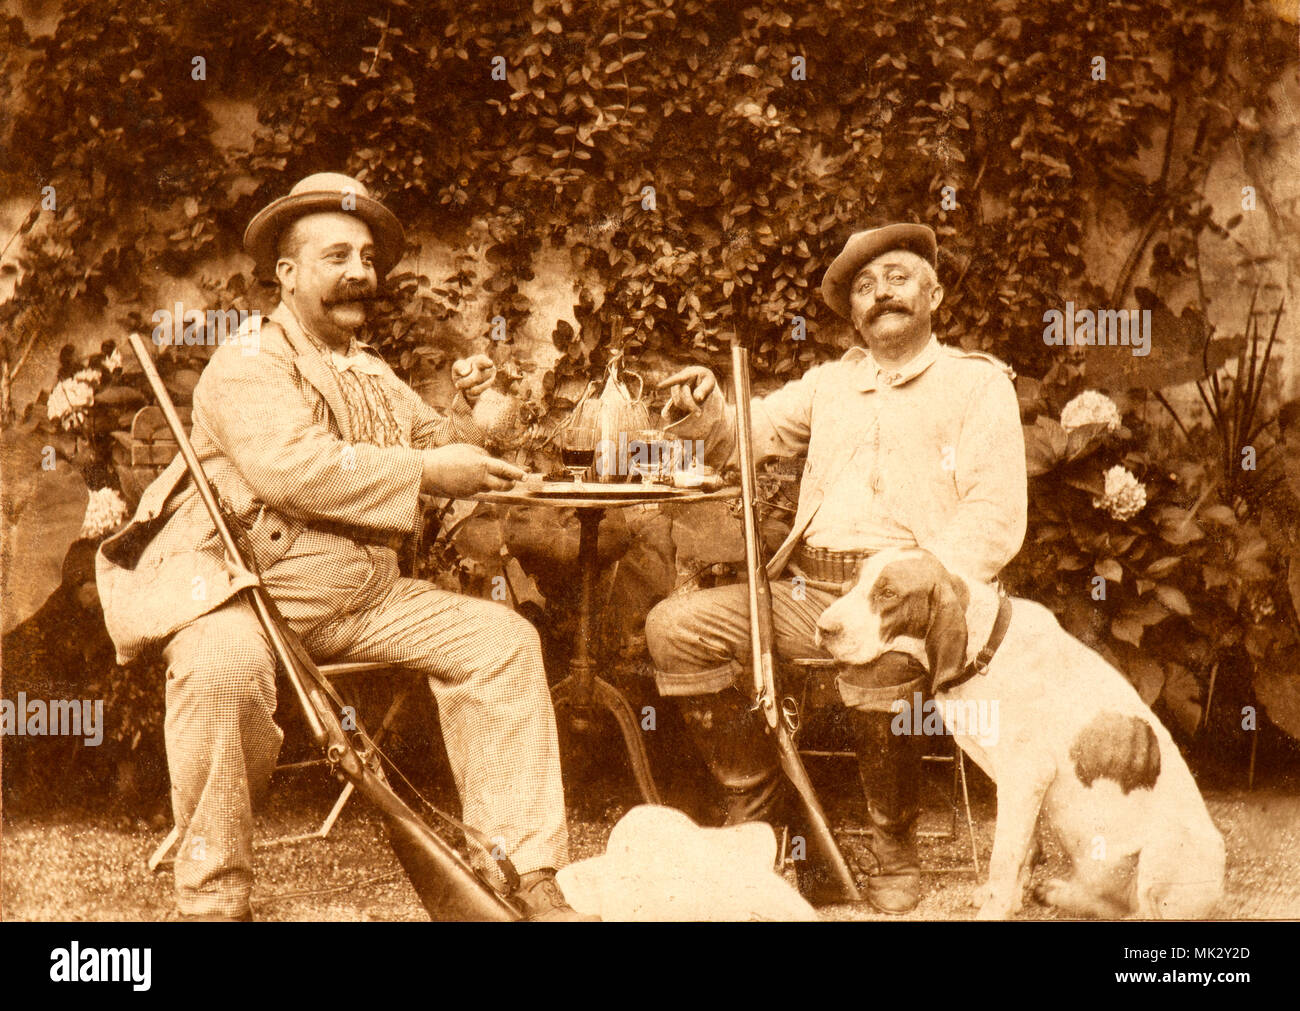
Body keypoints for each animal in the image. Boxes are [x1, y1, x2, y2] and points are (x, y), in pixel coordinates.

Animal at [816, 548, 1222, 920]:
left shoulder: (1025, 779)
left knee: (1142, 910)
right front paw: (1008, 899)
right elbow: (1023, 852)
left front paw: (995, 908)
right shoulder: (1014, 785)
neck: (985, 650)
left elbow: (1004, 857)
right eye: (852, 581)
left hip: (1167, 852)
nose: (824, 628)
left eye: (888, 594)